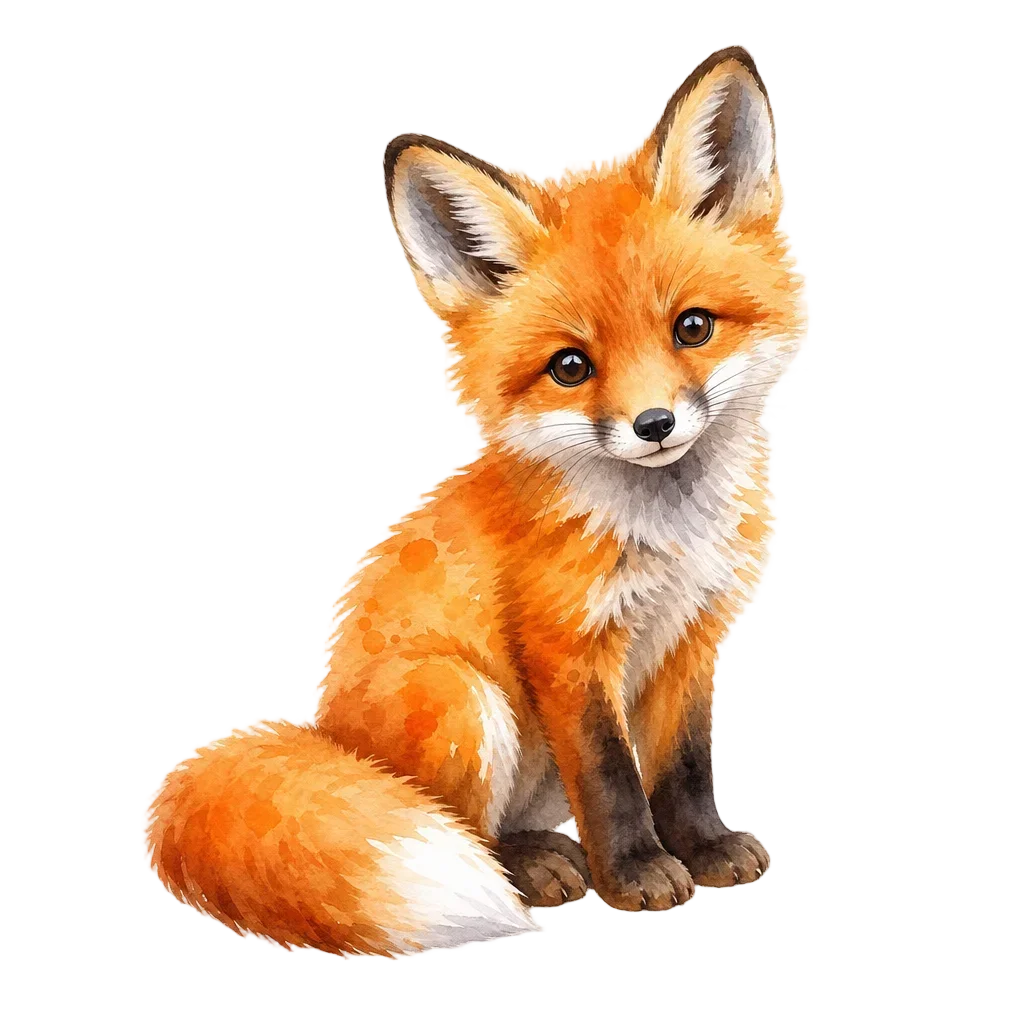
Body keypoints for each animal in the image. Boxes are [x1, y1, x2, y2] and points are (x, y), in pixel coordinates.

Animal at [139, 45, 811, 960]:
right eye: (570, 367)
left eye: (693, 328)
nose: (654, 424)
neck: (670, 534)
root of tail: (320, 732)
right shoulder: (567, 645)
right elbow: (611, 777)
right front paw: (638, 876)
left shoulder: (697, 634)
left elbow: (686, 764)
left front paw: (704, 849)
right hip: (461, 695)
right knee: (469, 833)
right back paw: (532, 872)